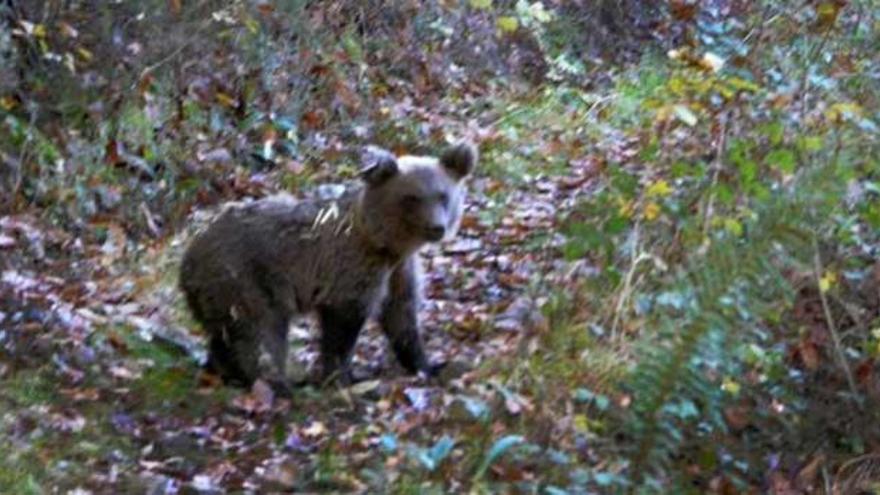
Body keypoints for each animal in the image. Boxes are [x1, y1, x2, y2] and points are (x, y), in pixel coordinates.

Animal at [179, 141, 478, 394]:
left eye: (443, 195)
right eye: (412, 197)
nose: (436, 227)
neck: (384, 242)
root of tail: (188, 257)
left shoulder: (399, 272)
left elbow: (401, 317)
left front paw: (426, 364)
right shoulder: (350, 269)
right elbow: (344, 325)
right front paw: (341, 376)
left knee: (227, 334)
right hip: (244, 278)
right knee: (260, 331)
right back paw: (273, 382)